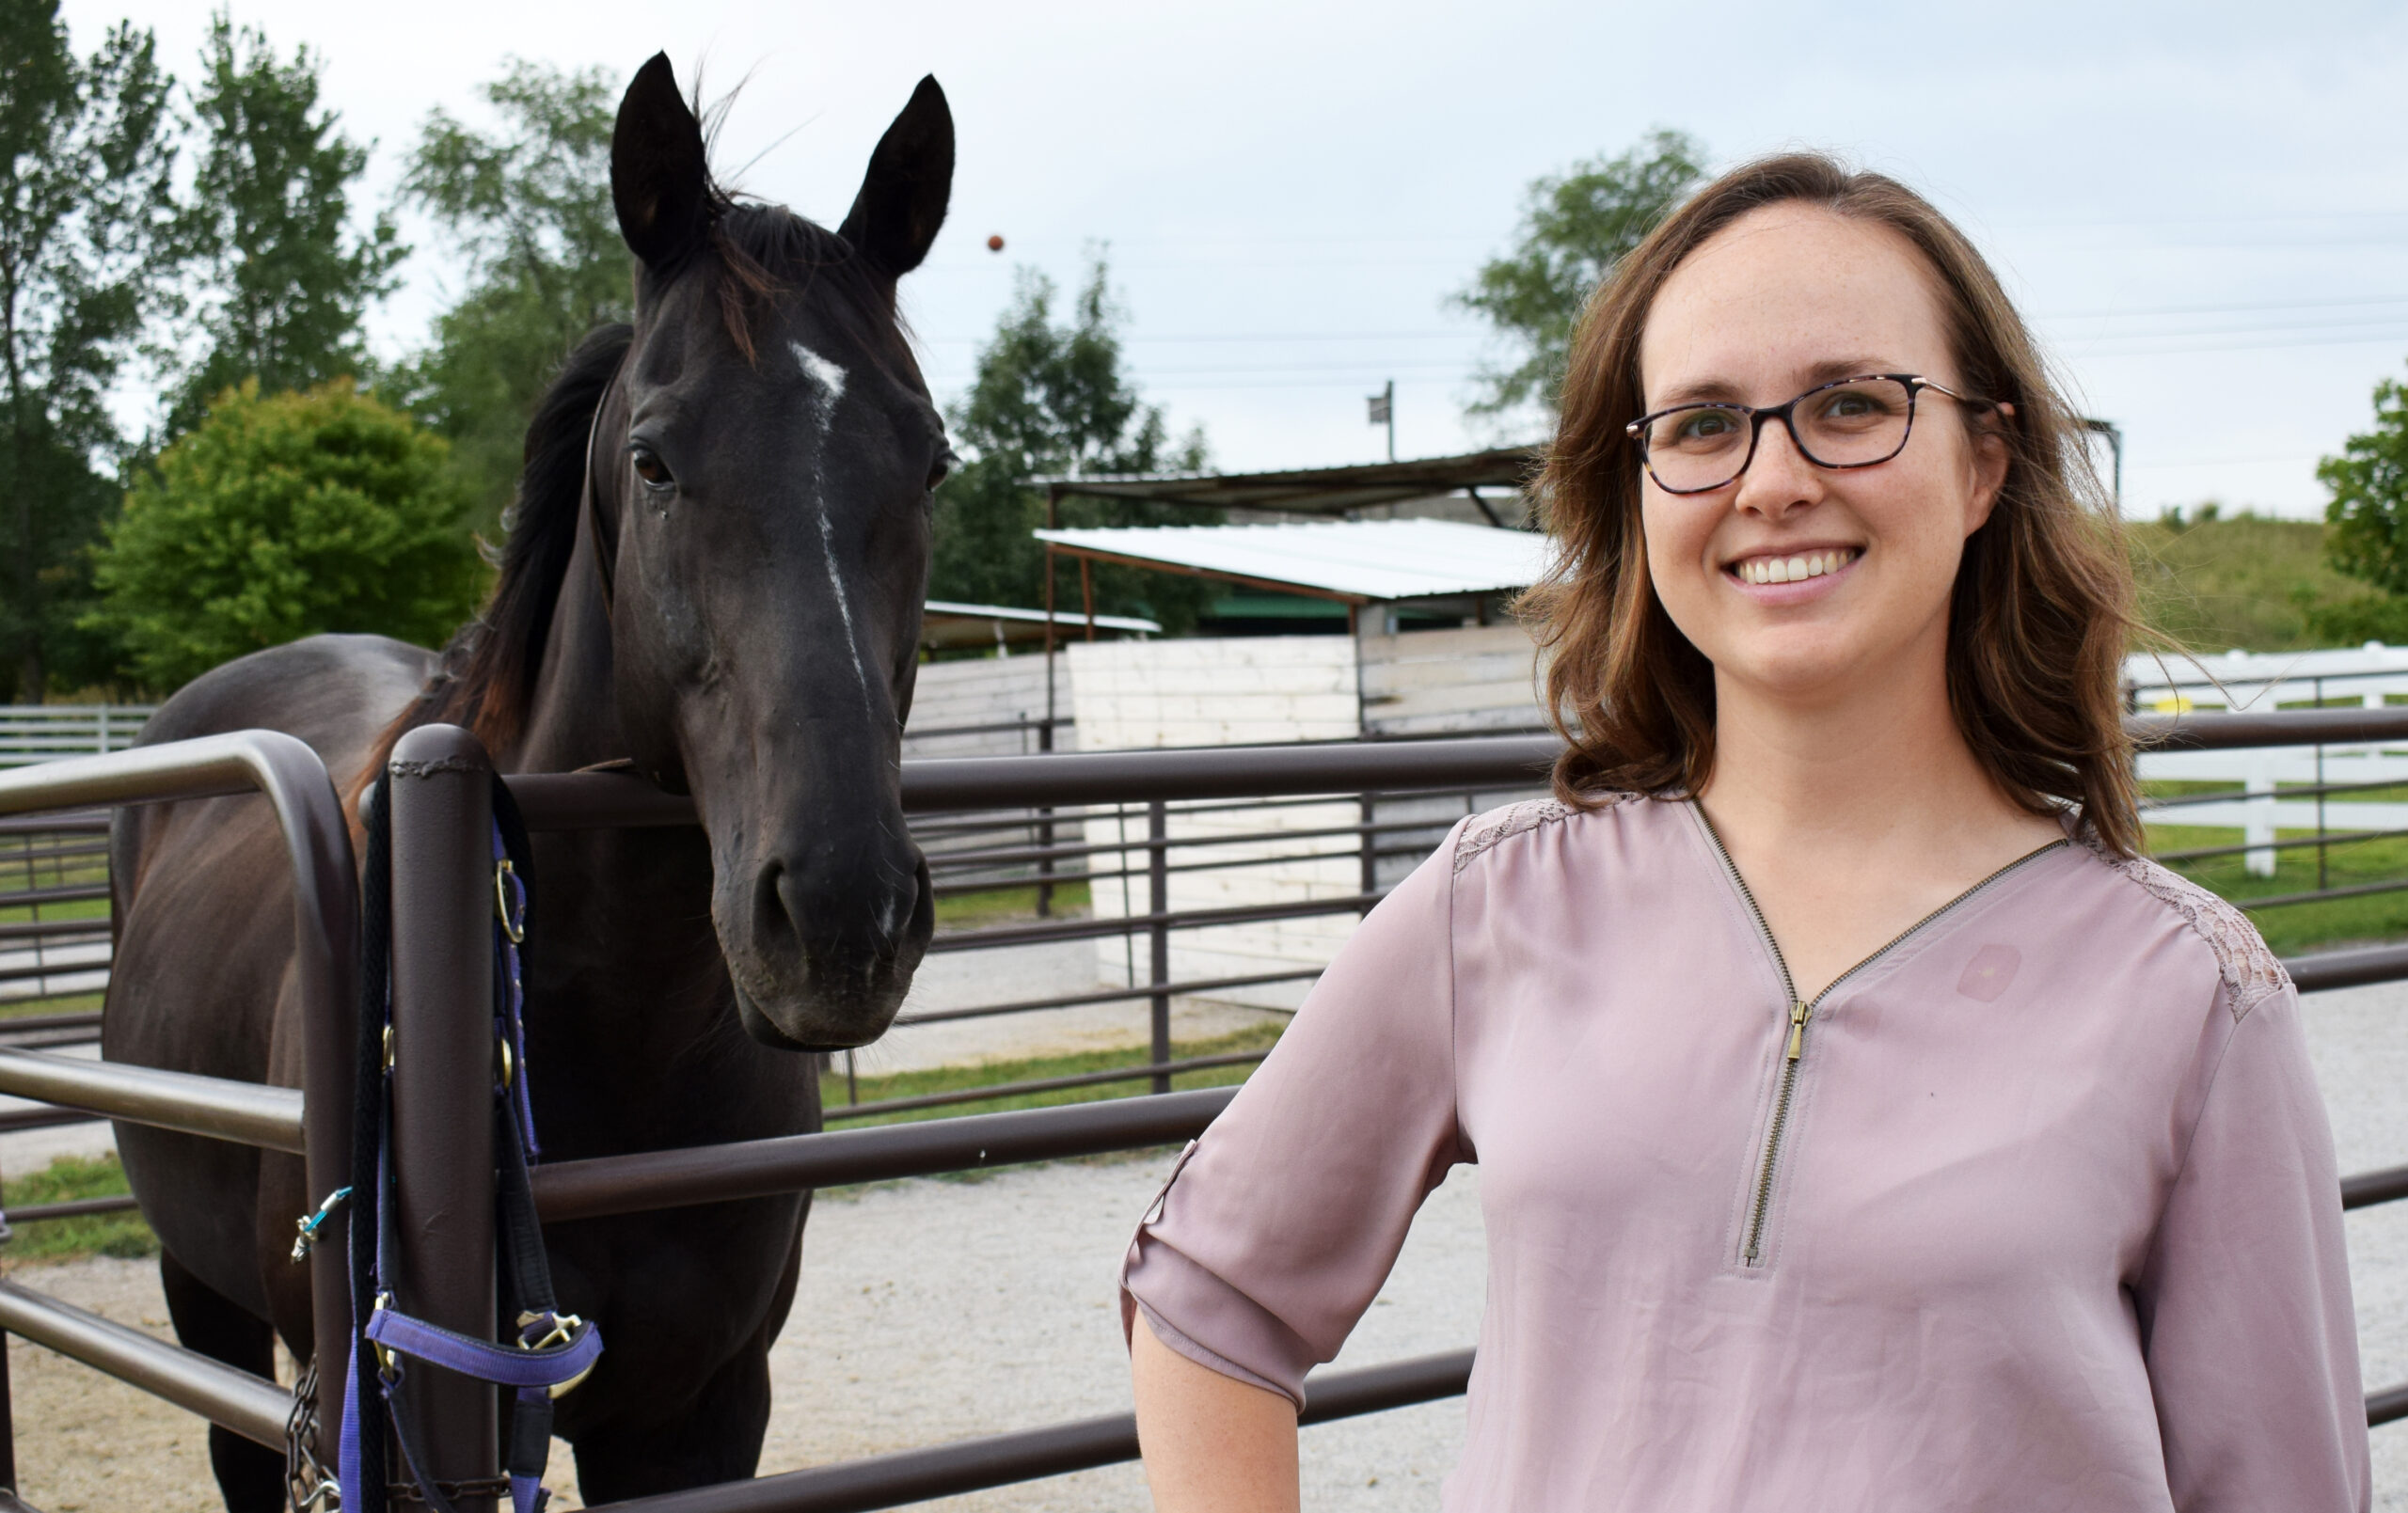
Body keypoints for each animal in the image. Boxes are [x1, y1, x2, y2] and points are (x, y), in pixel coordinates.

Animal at [101, 54, 953, 1509]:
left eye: (935, 462)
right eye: (653, 459)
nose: (846, 917)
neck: (610, 1039)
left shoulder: (697, 1415)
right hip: (209, 1311)